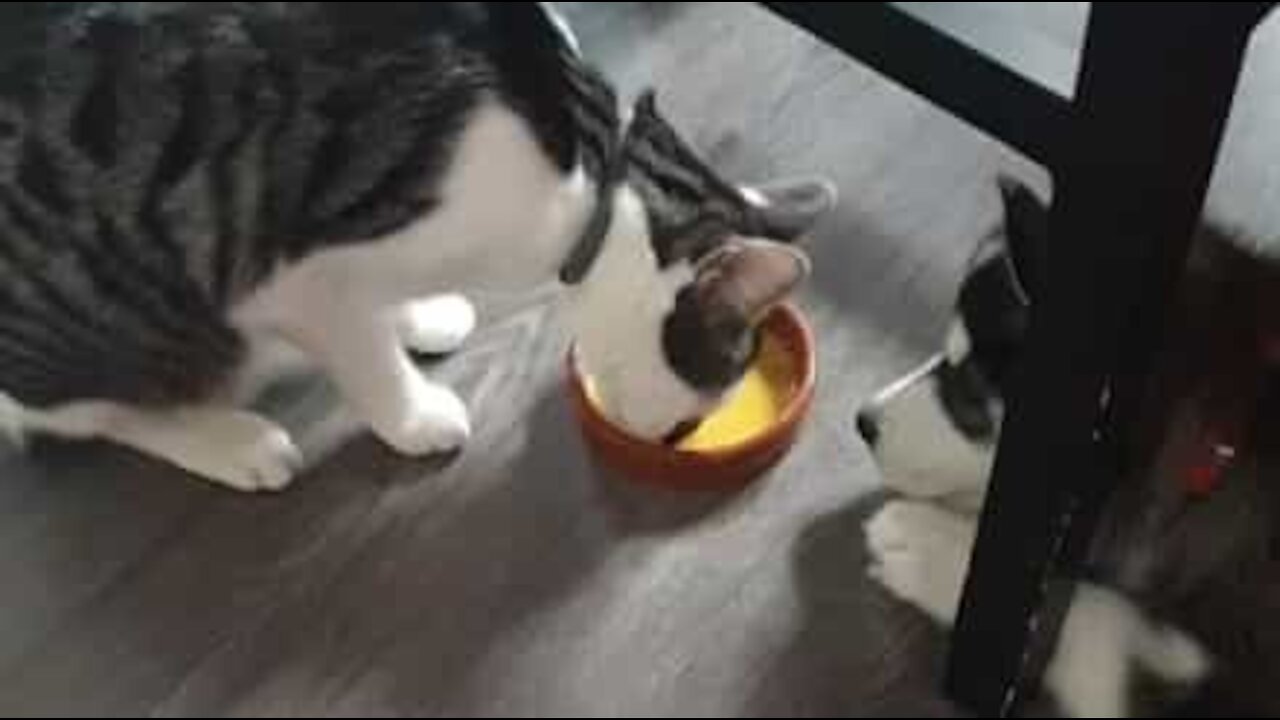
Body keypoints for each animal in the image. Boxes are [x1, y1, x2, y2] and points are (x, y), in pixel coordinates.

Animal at [0, 1, 834, 486]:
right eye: (694, 415)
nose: (676, 437)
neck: (589, 176)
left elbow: (376, 305)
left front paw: (419, 317)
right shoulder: (287, 278)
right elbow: (362, 352)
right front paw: (412, 416)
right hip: (126, 317)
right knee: (77, 414)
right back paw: (233, 442)